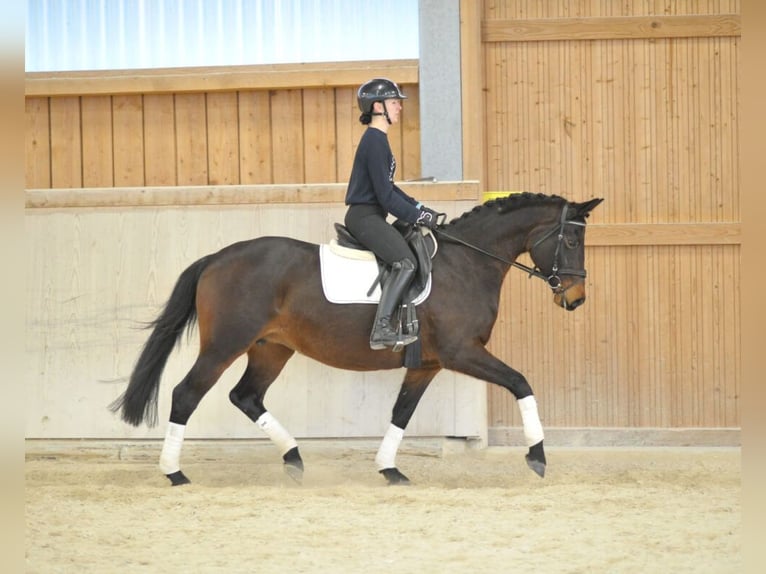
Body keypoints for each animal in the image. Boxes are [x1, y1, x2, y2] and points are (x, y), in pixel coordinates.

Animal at [112, 192, 608, 486]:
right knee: (187, 393)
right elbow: (522, 382)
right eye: (570, 242)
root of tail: (217, 257)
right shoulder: (462, 352)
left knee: (246, 396)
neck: (466, 263)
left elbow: (402, 413)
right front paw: (538, 456)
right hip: (224, 345)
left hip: (272, 348)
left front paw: (389, 468)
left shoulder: (427, 364)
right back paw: (175, 473)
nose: (576, 298)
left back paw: (294, 459)